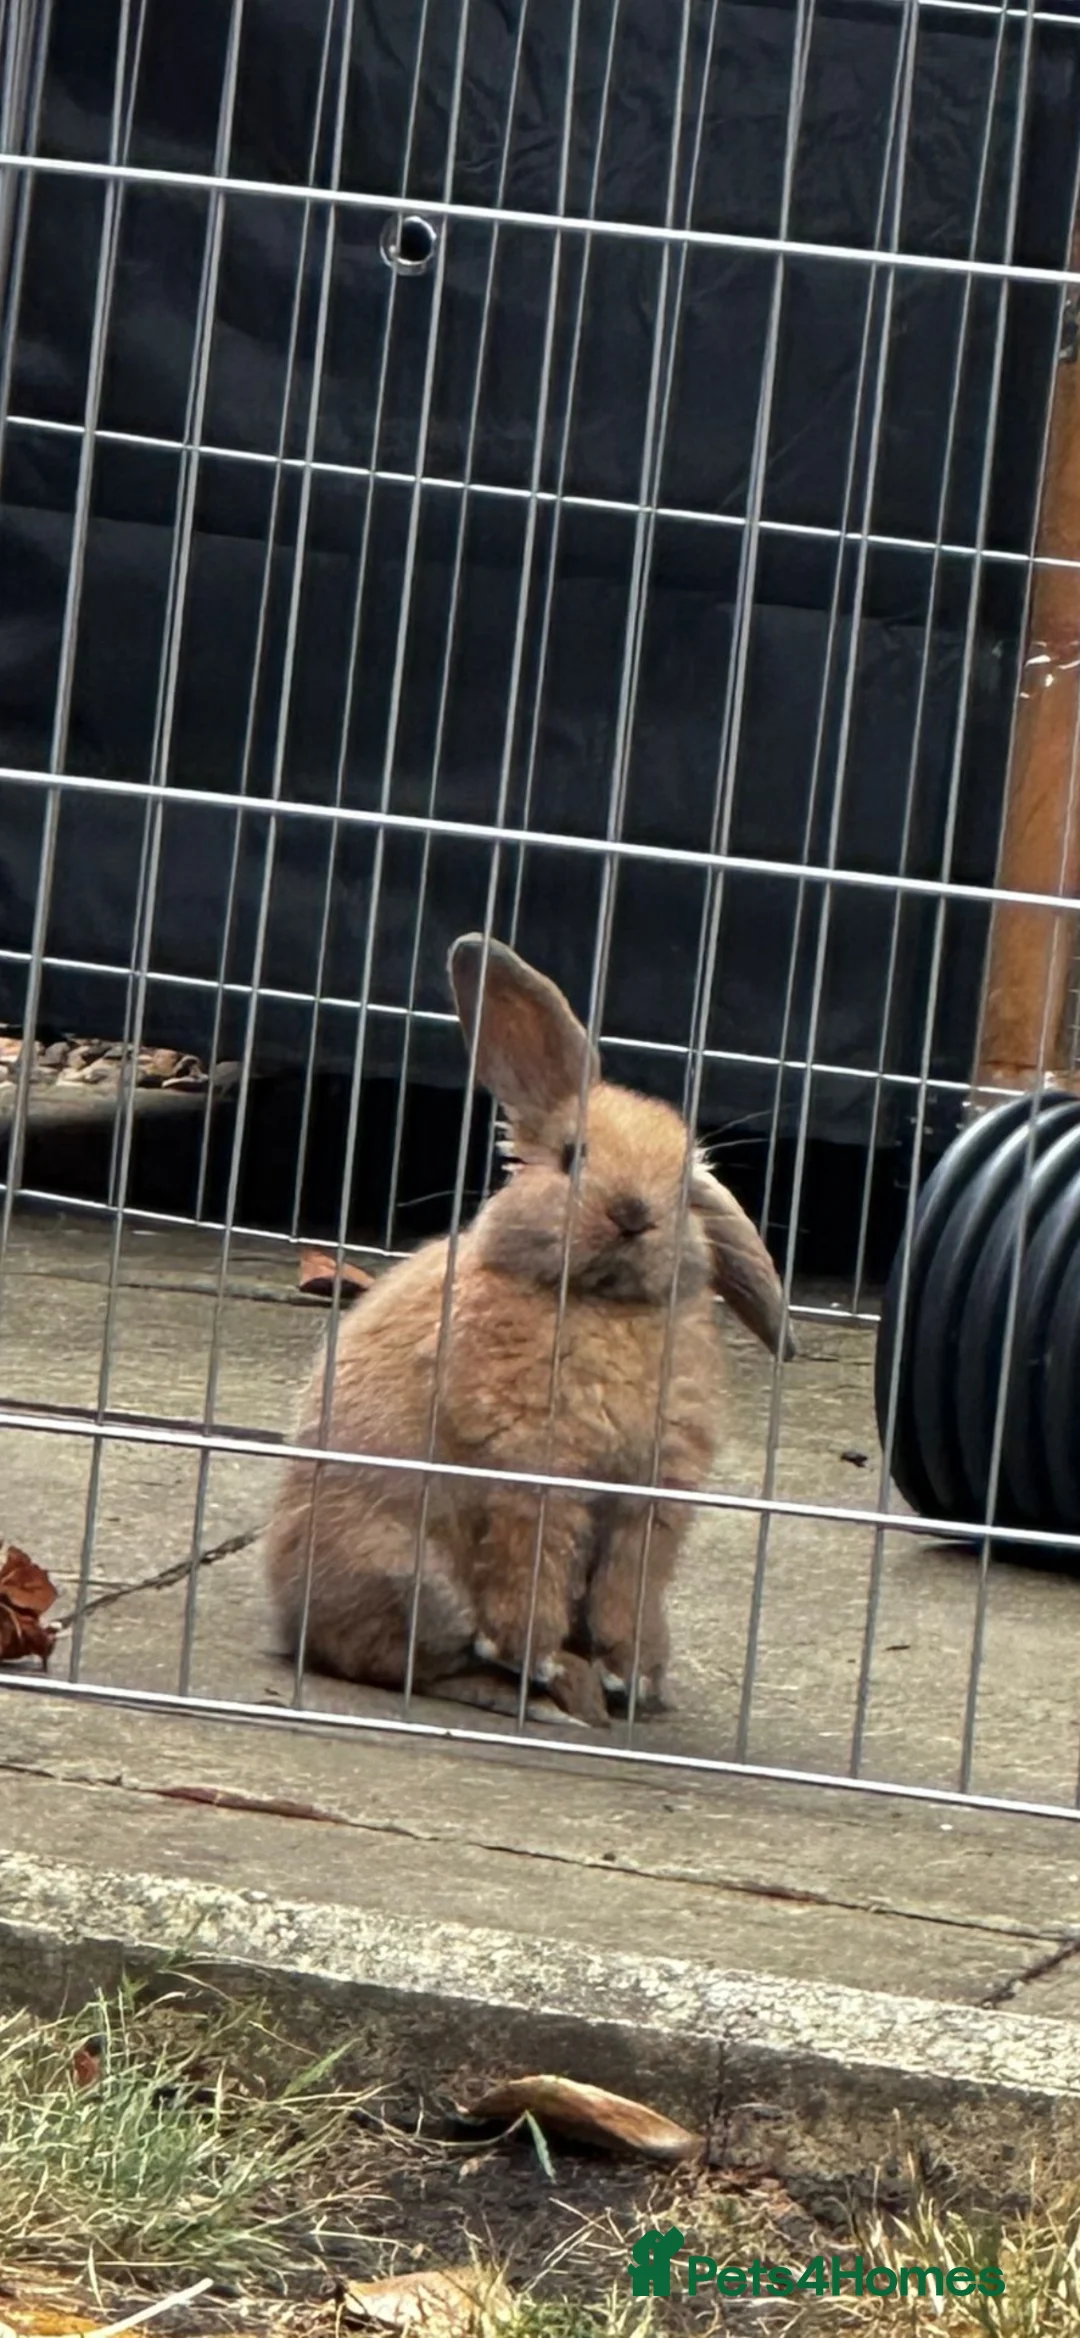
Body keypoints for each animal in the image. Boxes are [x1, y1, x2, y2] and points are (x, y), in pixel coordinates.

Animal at [264, 934, 795, 1726]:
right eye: (574, 1156)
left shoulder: (651, 1503)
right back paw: (539, 1693)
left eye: (683, 1183)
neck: (604, 1305)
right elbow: (531, 1577)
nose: (633, 1213)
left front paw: (631, 1677)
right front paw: (542, 1658)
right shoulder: (532, 1476)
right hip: (417, 1581)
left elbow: (626, 1595)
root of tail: (291, 1619)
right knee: (409, 1665)